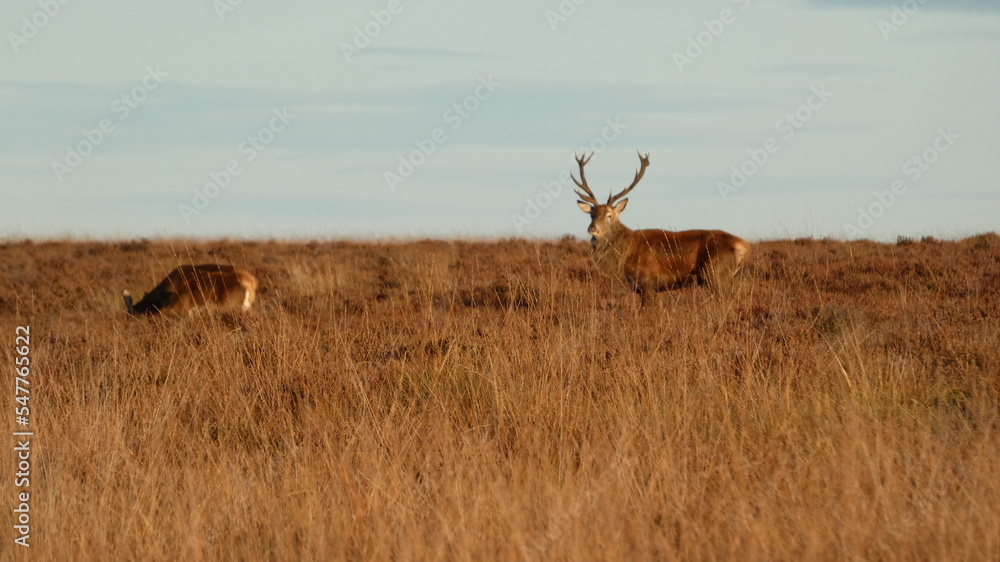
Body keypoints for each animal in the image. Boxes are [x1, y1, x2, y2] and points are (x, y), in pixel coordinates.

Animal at [573, 151, 750, 306]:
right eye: (592, 214)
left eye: (609, 215)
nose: (592, 228)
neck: (625, 256)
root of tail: (744, 247)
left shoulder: (647, 282)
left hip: (716, 274)